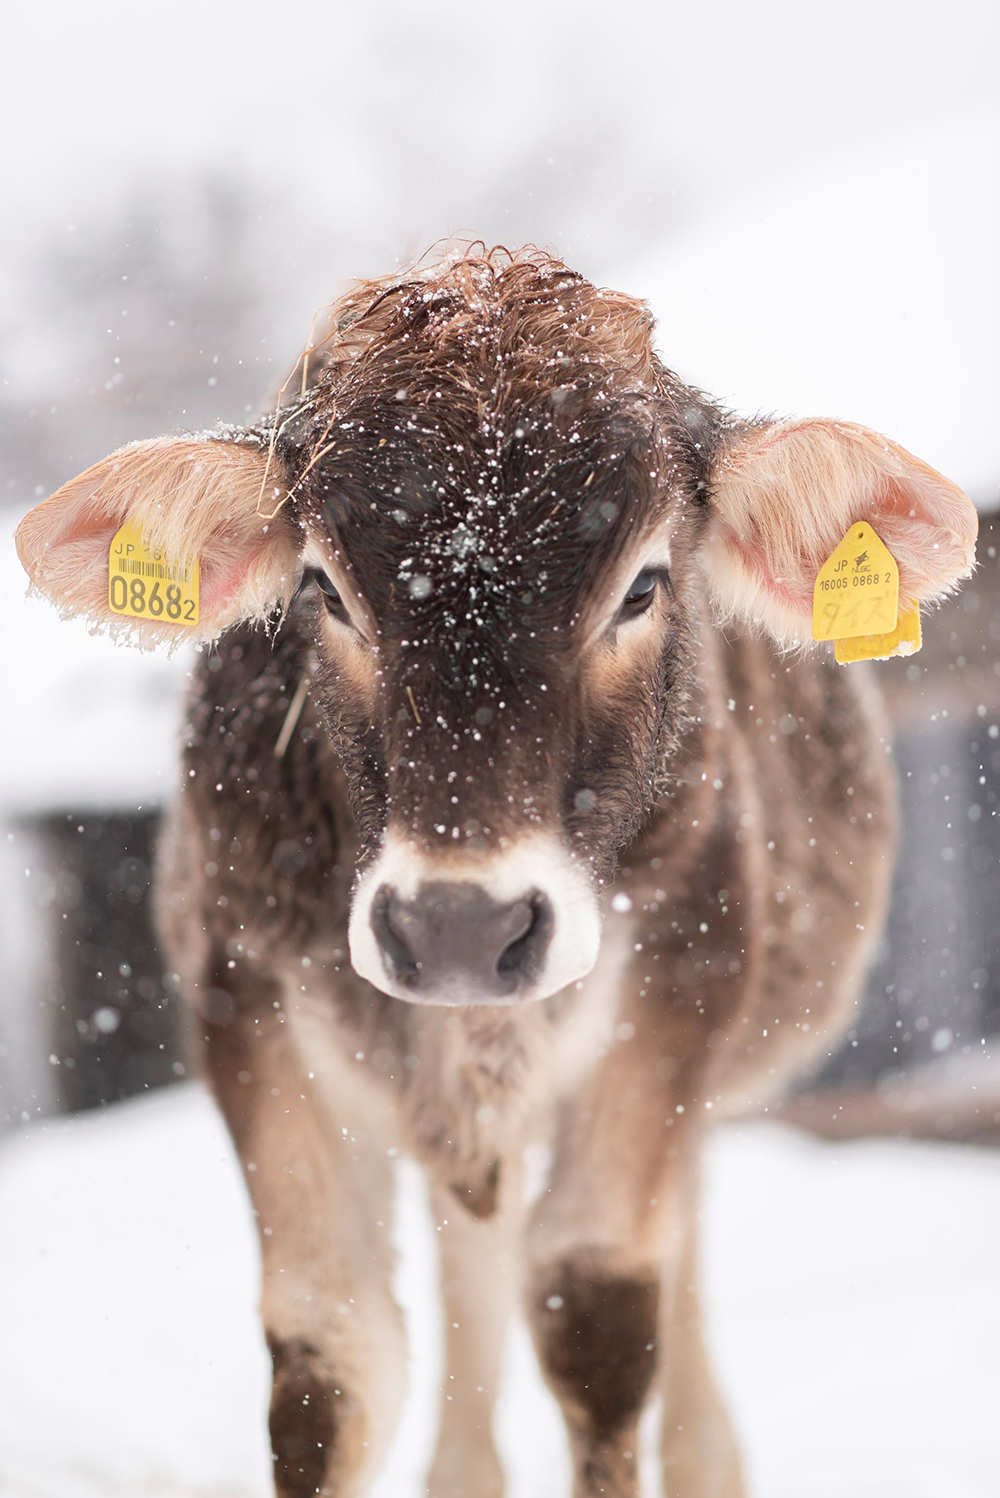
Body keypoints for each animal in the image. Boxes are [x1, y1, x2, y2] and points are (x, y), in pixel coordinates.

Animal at [17, 248, 976, 1498]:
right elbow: (333, 1358)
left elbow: (599, 1314)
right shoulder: (245, 996)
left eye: (641, 585)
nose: (459, 928)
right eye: (326, 588)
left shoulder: (677, 988)